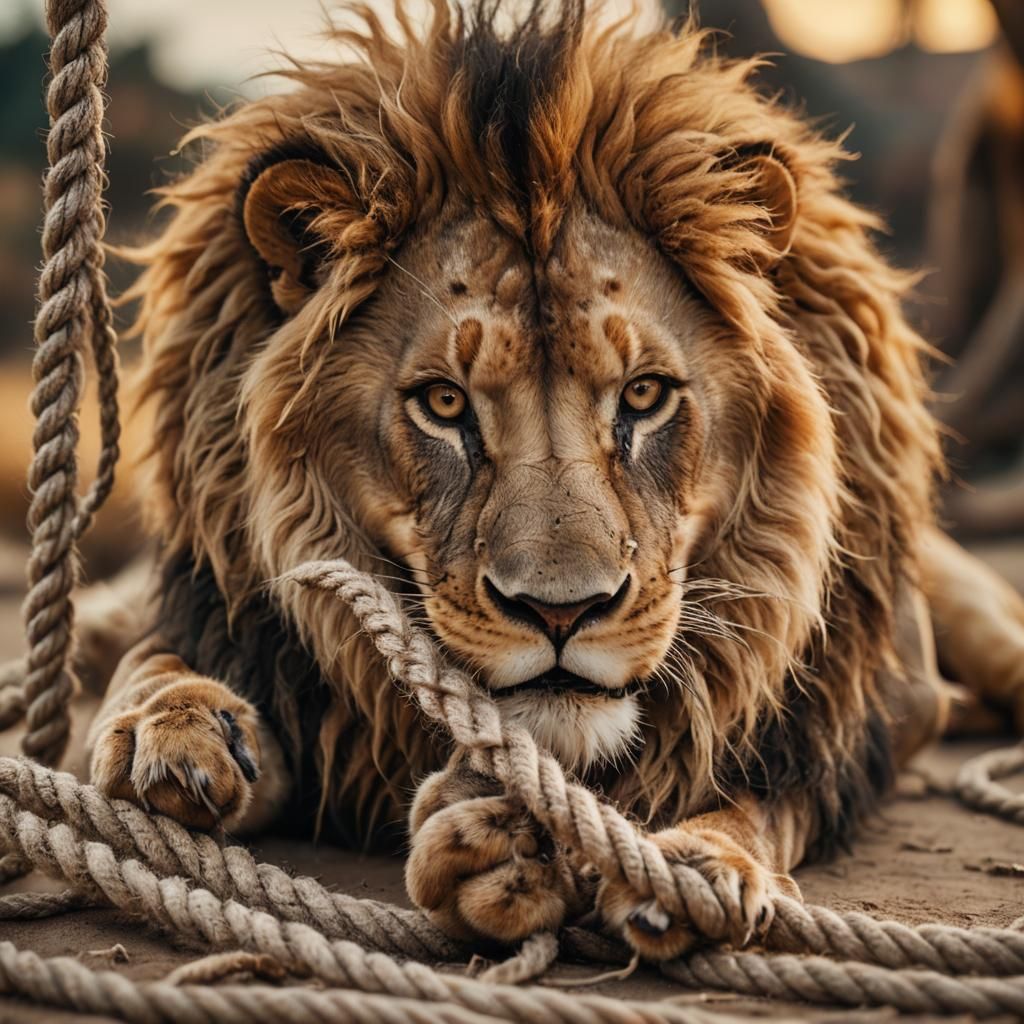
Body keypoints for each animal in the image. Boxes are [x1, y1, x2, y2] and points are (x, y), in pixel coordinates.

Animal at [83, 0, 1024, 959]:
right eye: (445, 404)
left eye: (643, 395)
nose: (562, 613)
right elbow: (155, 661)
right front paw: (177, 727)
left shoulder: (864, 711)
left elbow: (768, 792)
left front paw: (698, 867)